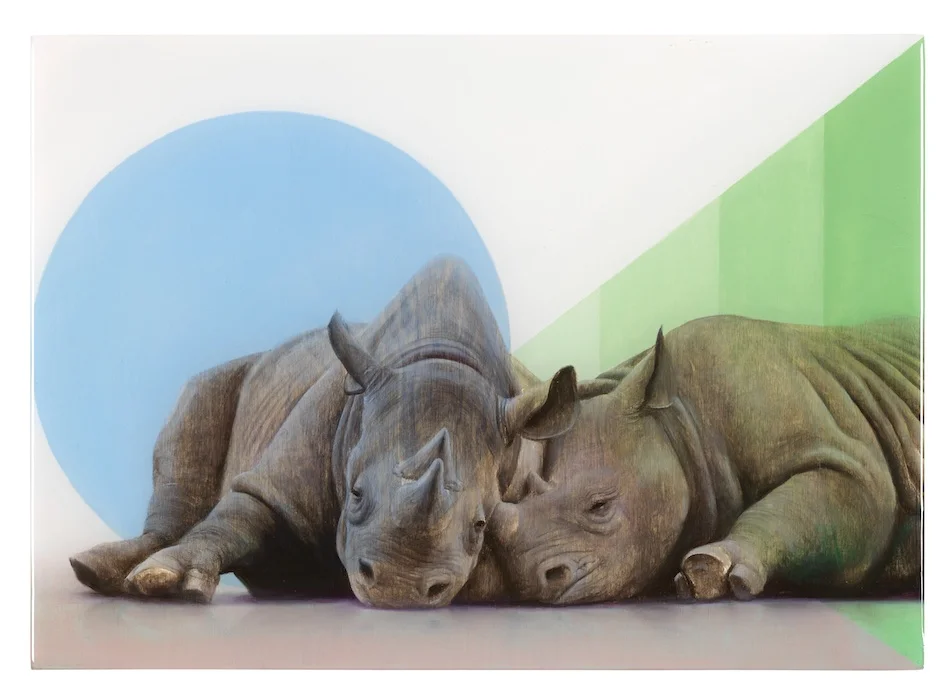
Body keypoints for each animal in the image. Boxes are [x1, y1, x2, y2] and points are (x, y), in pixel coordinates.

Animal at [68, 256, 580, 608]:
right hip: (227, 379)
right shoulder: (293, 458)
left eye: (480, 524)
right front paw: (164, 583)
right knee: (197, 409)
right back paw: (100, 570)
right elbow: (245, 507)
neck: (441, 354)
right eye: (355, 494)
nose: (398, 589)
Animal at [485, 315, 922, 605]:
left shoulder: (846, 458)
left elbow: (839, 498)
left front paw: (709, 571)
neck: (680, 422)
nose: (533, 581)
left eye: (600, 505)